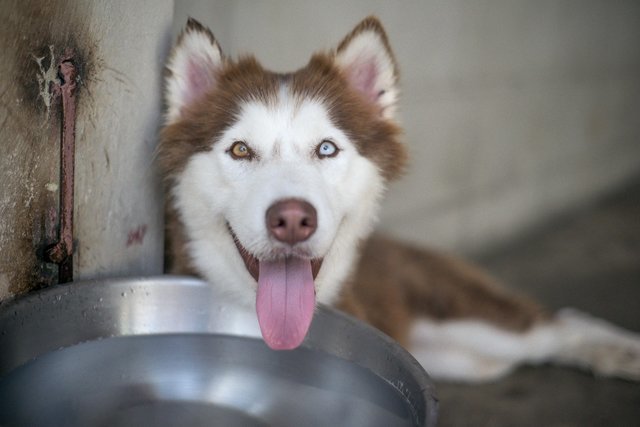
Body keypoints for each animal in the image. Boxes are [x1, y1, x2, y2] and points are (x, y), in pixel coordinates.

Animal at [159, 16, 640, 382]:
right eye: (241, 150)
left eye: (326, 149)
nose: (293, 219)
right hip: (457, 359)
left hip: (464, 316)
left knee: (559, 323)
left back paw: (622, 351)